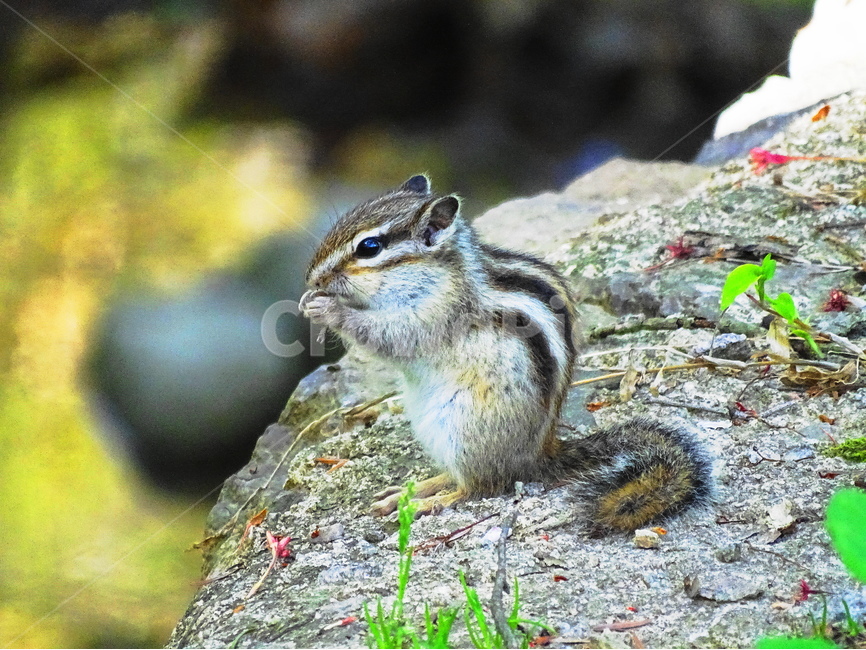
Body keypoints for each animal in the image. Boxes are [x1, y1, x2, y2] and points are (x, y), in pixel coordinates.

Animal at [299, 175, 711, 534]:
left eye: (369, 248)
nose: (312, 279)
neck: (437, 273)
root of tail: (539, 456)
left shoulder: (435, 314)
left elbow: (390, 336)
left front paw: (327, 309)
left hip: (463, 429)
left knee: (479, 486)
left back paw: (427, 503)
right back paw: (409, 491)